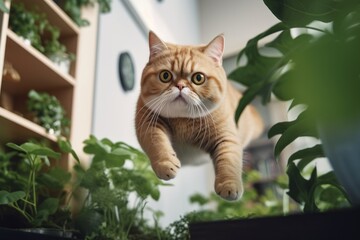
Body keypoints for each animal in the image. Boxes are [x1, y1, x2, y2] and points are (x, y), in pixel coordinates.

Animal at [134, 31, 262, 201]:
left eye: (198, 78)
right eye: (165, 76)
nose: (180, 86)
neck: (183, 120)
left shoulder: (226, 137)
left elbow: (229, 160)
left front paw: (228, 185)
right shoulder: (147, 122)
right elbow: (156, 143)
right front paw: (165, 164)